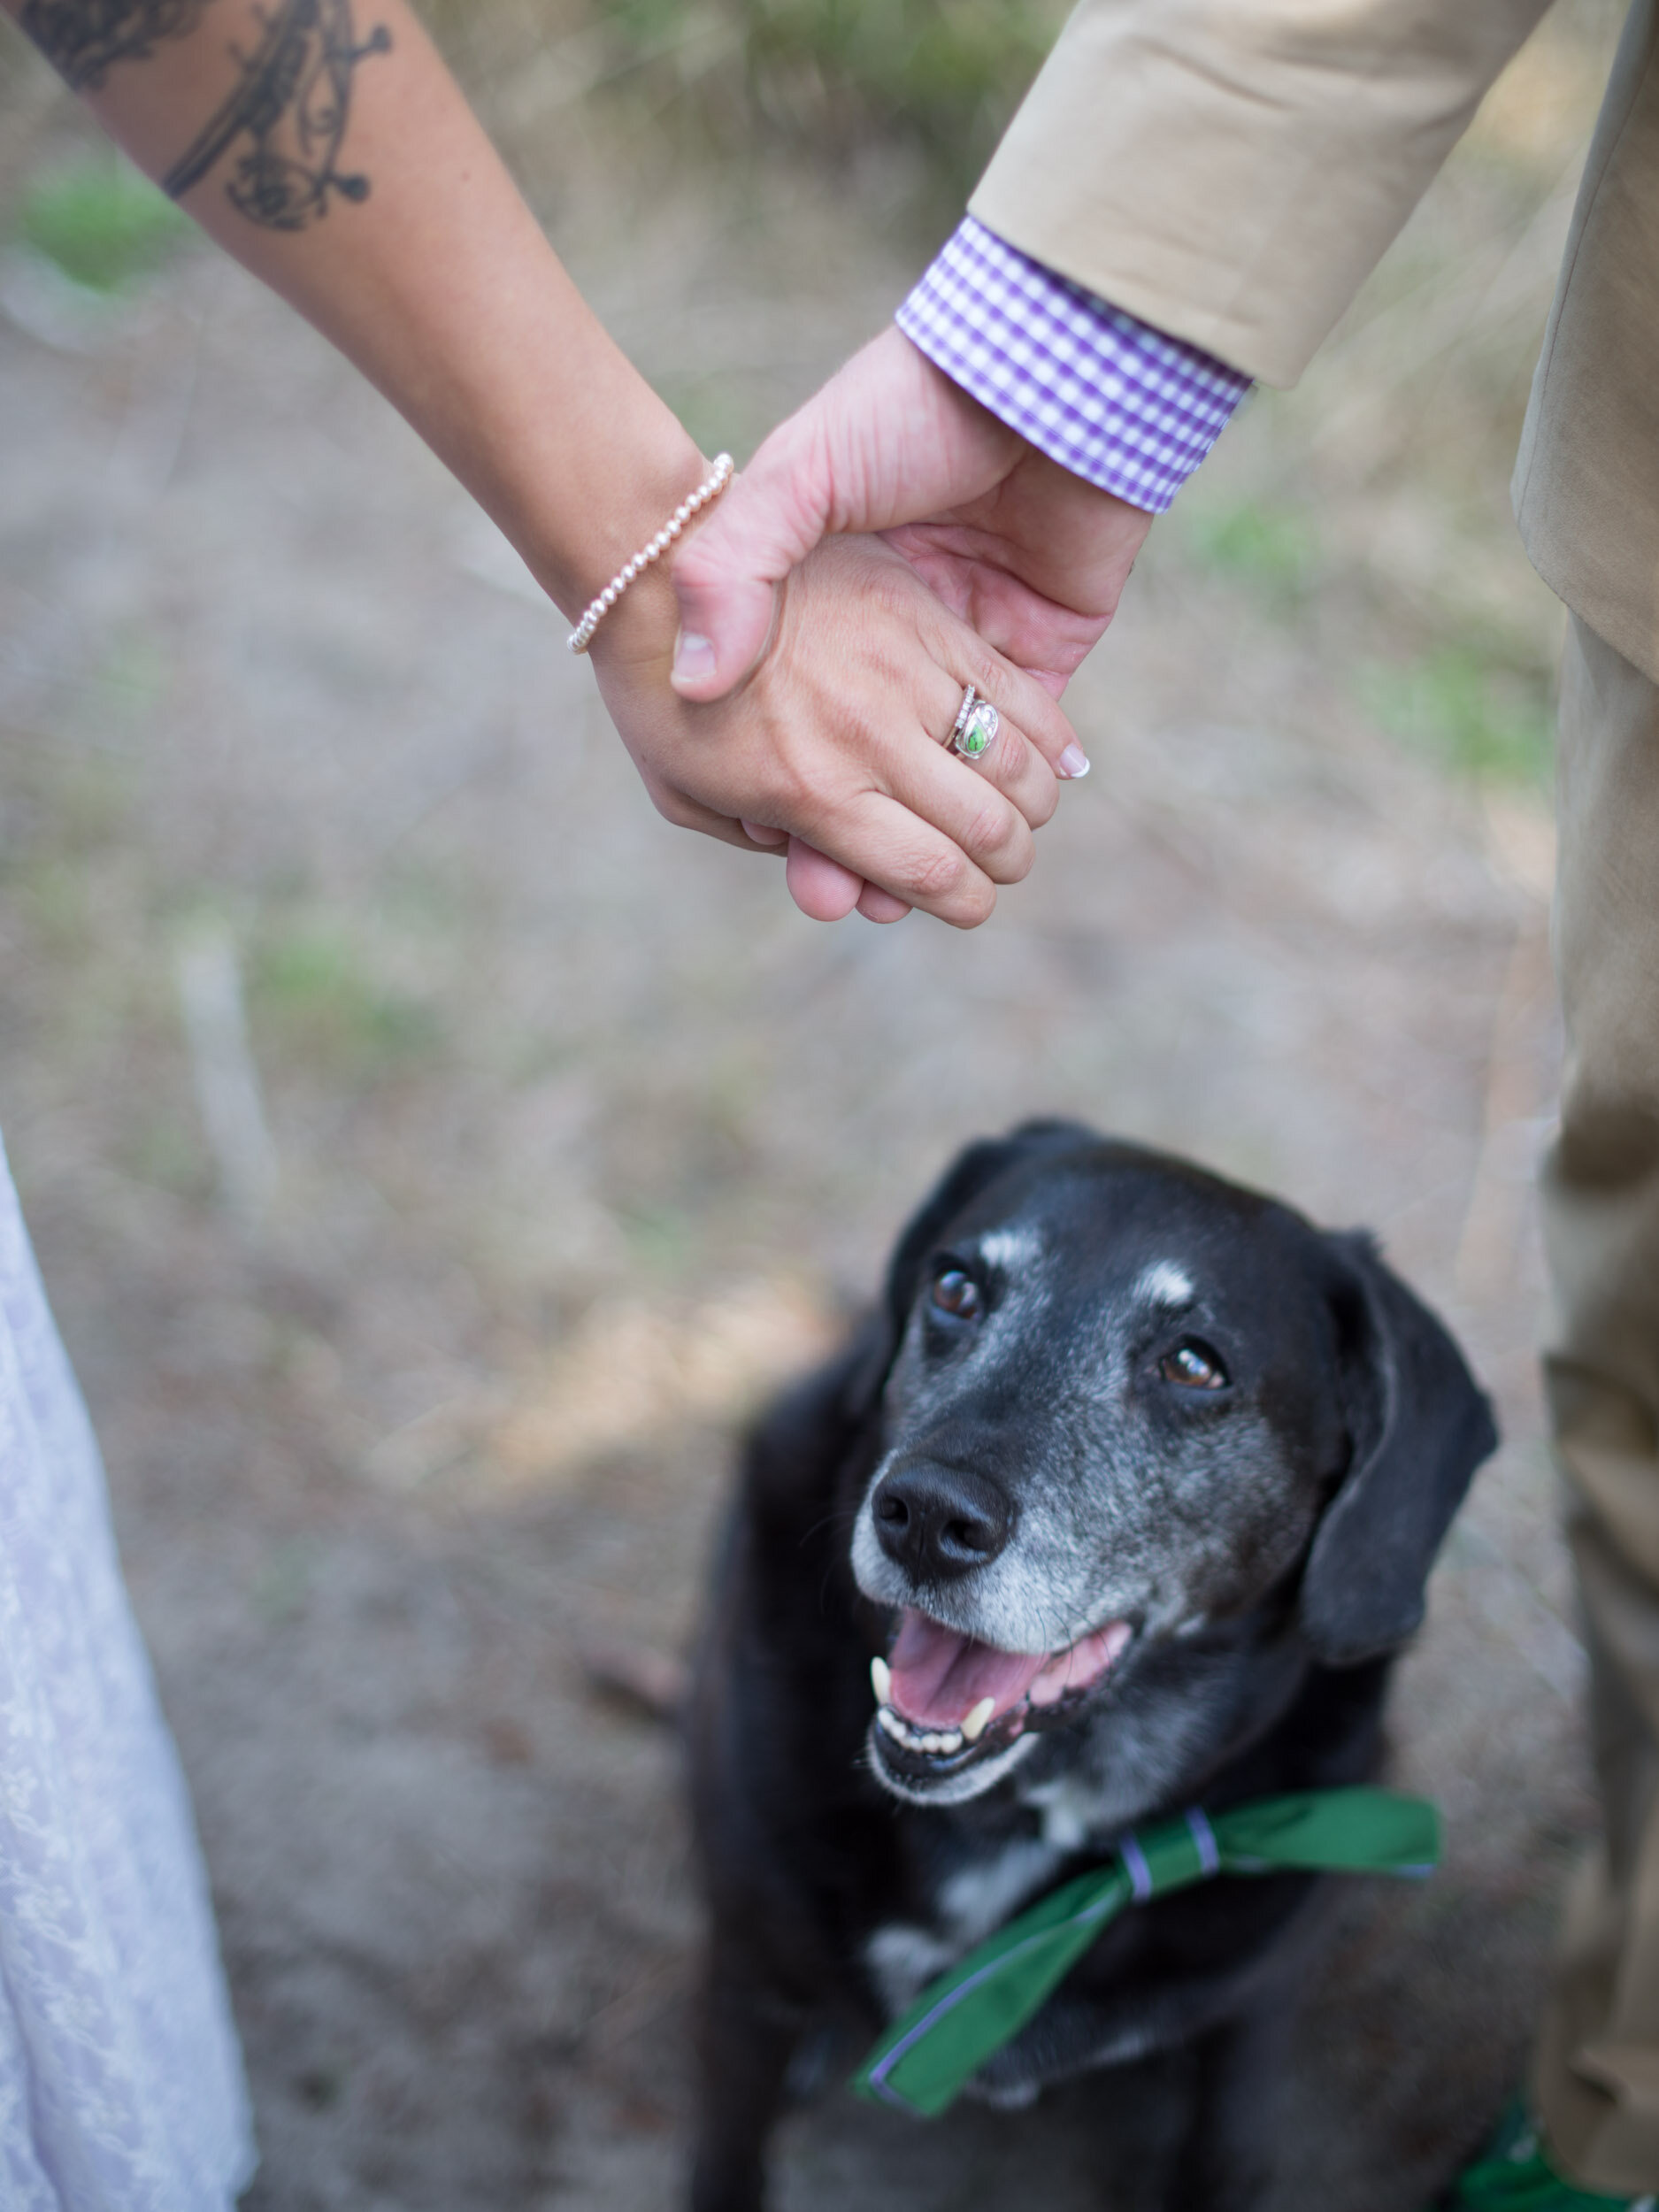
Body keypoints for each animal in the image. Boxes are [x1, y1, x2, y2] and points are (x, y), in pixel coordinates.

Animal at [686, 1124, 1495, 2212]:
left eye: (1193, 1364)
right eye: (955, 1287)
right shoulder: (746, 1987)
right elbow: (725, 2165)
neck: (1024, 1819)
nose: (925, 1517)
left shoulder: (1247, 2036)